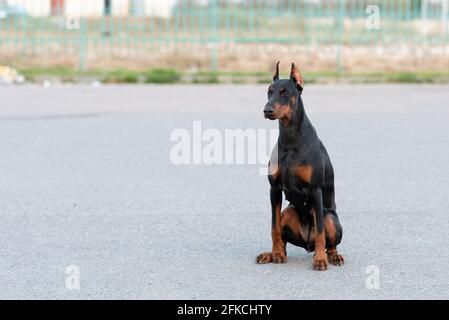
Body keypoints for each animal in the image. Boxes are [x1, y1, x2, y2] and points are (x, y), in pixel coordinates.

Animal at [256, 62, 344, 270]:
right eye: (269, 91)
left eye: (285, 92)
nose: (267, 110)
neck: (291, 139)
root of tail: (307, 244)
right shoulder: (274, 189)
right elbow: (274, 226)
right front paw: (276, 253)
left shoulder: (315, 189)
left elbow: (320, 231)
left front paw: (320, 260)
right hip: (288, 211)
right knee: (283, 234)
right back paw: (272, 253)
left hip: (330, 217)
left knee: (329, 240)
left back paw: (331, 256)